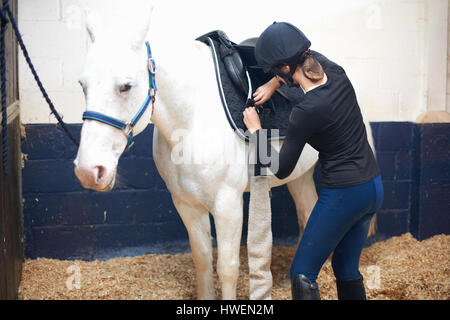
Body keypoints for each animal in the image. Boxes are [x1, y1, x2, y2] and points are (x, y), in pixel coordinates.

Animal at [74, 10, 374, 300]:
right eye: (82, 85)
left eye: (126, 86)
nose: (89, 171)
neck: (192, 118)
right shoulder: (185, 203)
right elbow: (203, 259)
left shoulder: (228, 203)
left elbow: (227, 267)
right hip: (300, 174)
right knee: (308, 211)